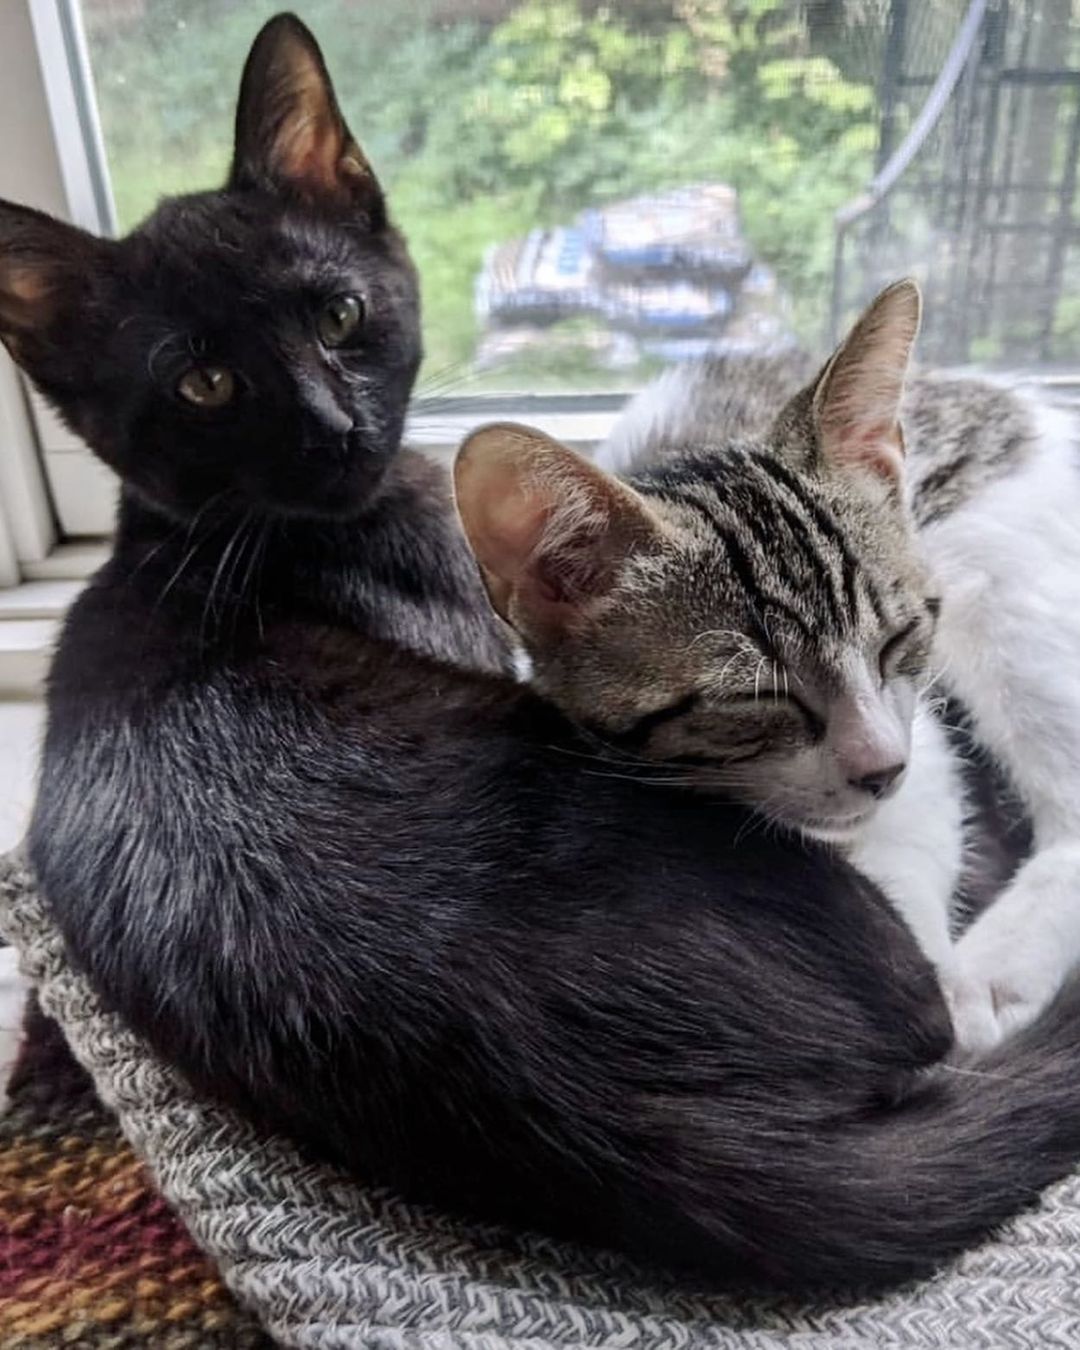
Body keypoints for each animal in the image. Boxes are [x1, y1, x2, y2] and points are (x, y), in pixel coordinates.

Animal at [459, 276, 1080, 1053]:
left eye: (898, 639)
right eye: (755, 698)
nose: (881, 770)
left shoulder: (917, 738)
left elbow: (917, 827)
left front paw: (929, 978)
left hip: (995, 572)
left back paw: (998, 970)